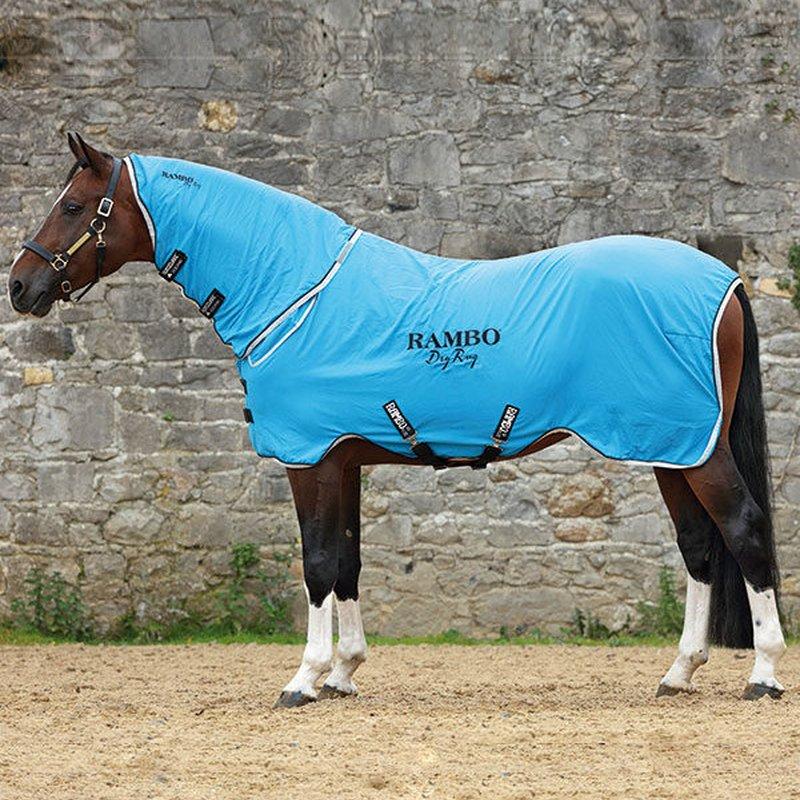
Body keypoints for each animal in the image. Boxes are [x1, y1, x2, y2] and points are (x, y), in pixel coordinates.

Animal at [7, 132, 785, 706]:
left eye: (74, 206)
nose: (20, 285)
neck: (297, 290)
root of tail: (725, 280)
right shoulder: (345, 459)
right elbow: (348, 559)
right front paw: (344, 673)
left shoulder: (311, 458)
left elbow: (318, 561)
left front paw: (303, 680)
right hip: (671, 448)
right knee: (698, 545)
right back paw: (679, 673)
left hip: (695, 449)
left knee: (742, 529)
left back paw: (765, 674)